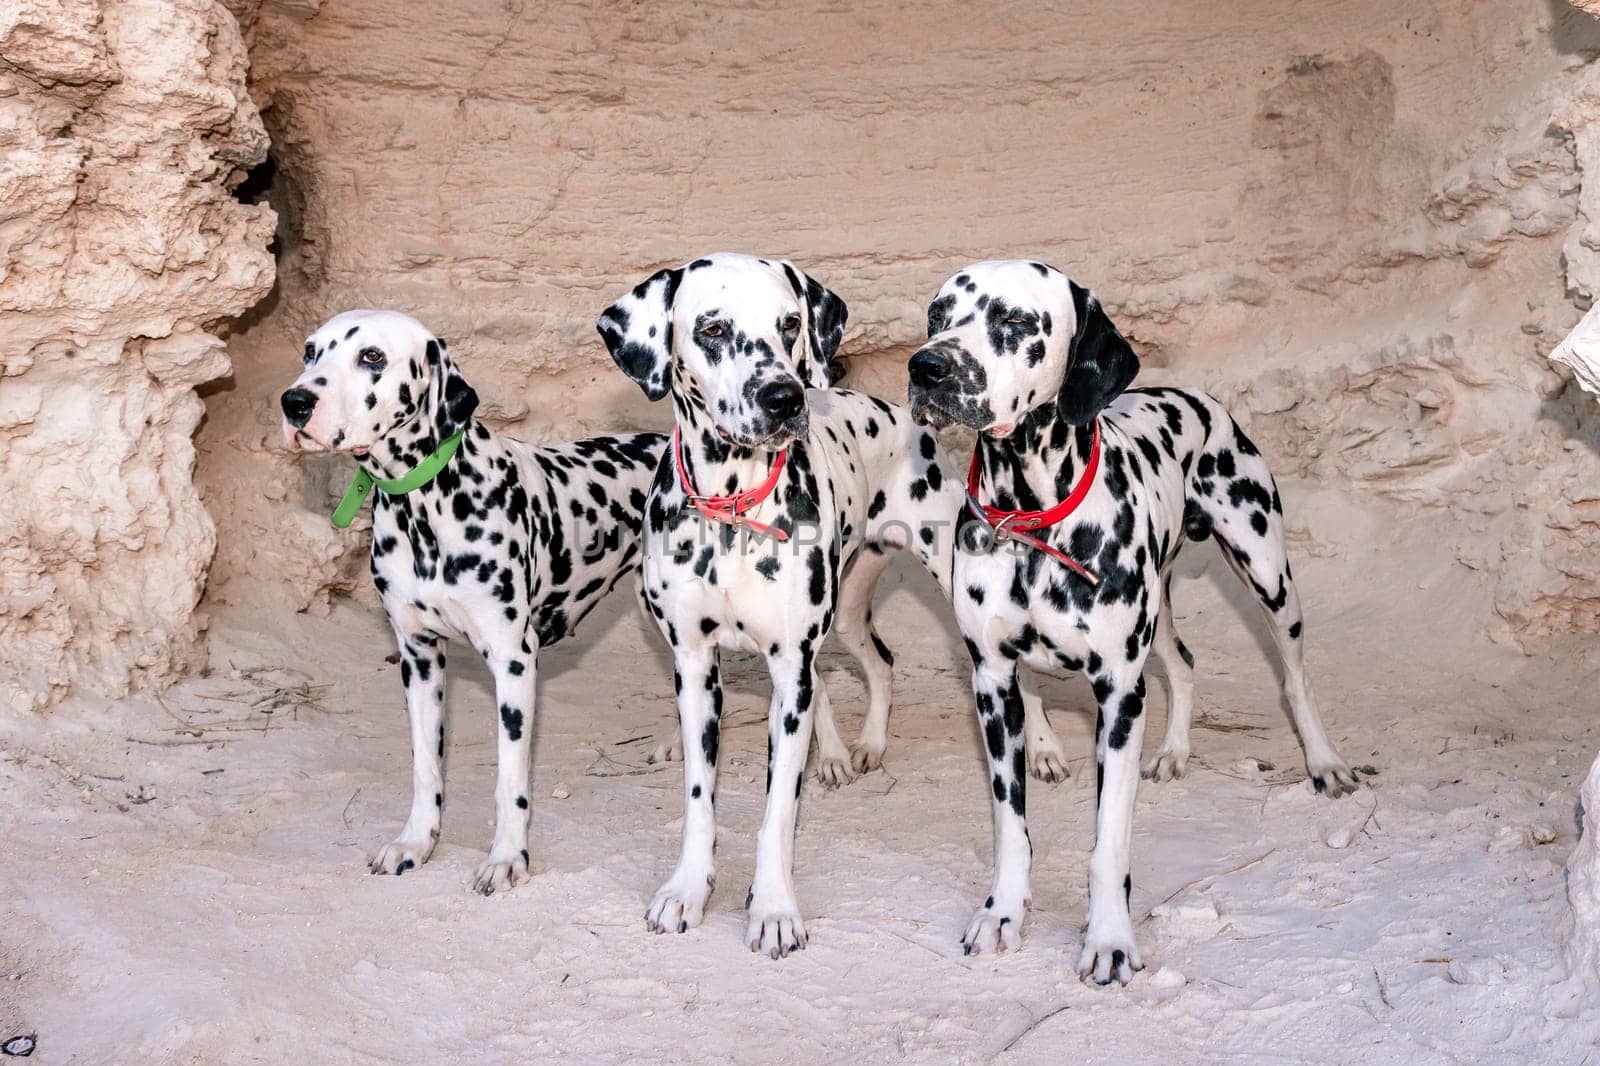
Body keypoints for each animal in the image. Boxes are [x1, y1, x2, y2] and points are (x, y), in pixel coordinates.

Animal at [908, 260, 1356, 985]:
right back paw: (1167, 751)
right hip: (1158, 615)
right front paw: (1003, 911)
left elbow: (1107, 843)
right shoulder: (993, 685)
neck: (1035, 520)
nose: (925, 367)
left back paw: (1324, 761)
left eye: (1013, 319)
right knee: (1183, 662)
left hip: (1267, 573)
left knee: (1294, 676)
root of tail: (1192, 396)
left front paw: (1110, 939)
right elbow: (1011, 824)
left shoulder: (1118, 696)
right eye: (937, 315)